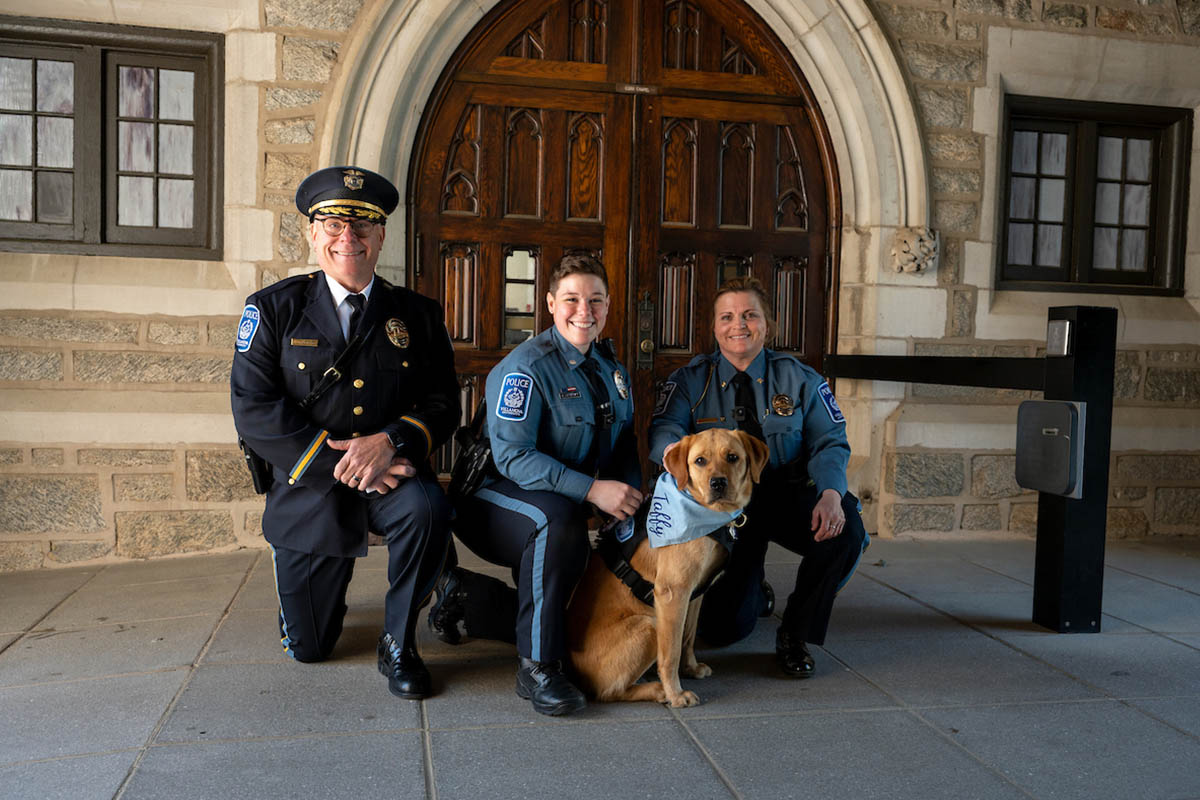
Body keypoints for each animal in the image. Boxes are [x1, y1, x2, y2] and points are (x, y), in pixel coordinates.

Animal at [568, 431, 768, 705]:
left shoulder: (695, 594)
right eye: (700, 461)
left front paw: (690, 668)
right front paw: (676, 693)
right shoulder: (673, 593)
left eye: (732, 457)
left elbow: (687, 637)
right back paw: (657, 690)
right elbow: (671, 652)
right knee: (609, 692)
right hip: (649, 624)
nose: (718, 483)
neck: (706, 514)